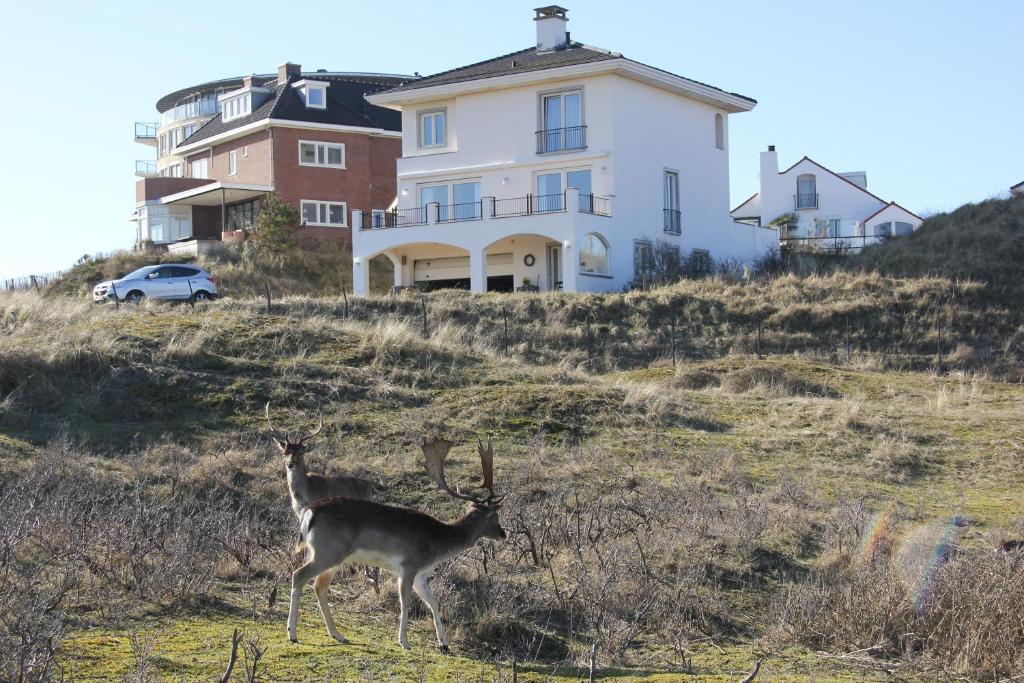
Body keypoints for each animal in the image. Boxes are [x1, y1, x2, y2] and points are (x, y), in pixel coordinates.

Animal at [288, 438, 503, 651]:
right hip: (327, 551)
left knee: (319, 586)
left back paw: (337, 634)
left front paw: (444, 643)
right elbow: (405, 602)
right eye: (494, 516)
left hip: (325, 554)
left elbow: (433, 602)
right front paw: (404, 642)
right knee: (298, 575)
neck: (438, 542)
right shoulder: (409, 565)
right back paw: (292, 634)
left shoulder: (421, 574)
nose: (503, 533)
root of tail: (309, 512)